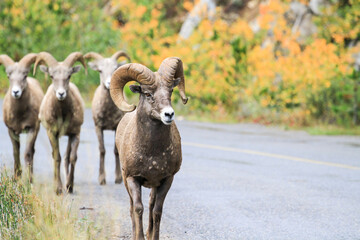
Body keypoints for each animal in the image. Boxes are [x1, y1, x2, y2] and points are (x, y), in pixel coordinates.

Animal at [0, 53, 44, 181]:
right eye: (9, 76)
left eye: (25, 76)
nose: (16, 92)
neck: (19, 115)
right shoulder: (11, 130)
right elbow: (16, 153)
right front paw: (16, 177)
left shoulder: (32, 129)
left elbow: (27, 153)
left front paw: (28, 180)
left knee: (32, 152)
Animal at [33, 51, 87, 194]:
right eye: (52, 76)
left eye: (69, 76)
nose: (61, 94)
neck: (62, 115)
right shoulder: (52, 133)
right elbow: (57, 157)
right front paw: (58, 188)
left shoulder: (75, 133)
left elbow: (73, 158)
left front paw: (69, 186)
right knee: (55, 156)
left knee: (67, 157)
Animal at [83, 50, 131, 186]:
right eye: (100, 70)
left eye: (115, 68)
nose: (109, 83)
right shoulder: (98, 127)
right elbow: (102, 150)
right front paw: (101, 179)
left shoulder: (115, 127)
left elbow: (115, 151)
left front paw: (118, 178)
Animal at [109, 57, 188, 239]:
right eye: (147, 94)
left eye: (170, 92)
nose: (169, 114)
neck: (152, 153)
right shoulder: (133, 178)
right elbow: (138, 208)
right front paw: (139, 236)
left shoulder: (166, 179)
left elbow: (157, 210)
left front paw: (153, 236)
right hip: (126, 180)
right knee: (132, 207)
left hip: (153, 185)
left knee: (152, 204)